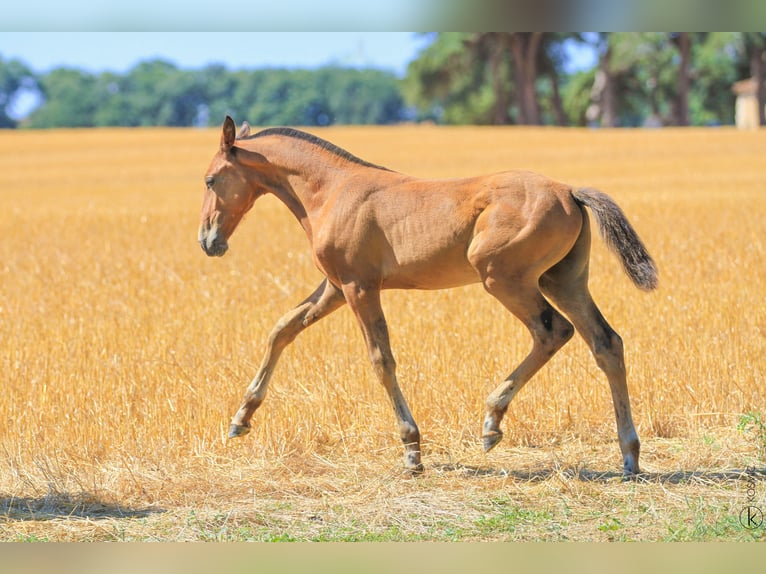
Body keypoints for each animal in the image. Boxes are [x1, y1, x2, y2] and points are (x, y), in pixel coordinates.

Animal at [200, 117, 660, 476]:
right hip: (563, 280)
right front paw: (240, 419)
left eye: (209, 179)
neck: (331, 191)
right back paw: (629, 455)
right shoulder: (334, 286)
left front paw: (412, 450)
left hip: (503, 278)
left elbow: (382, 359)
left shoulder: (359, 287)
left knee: (553, 331)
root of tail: (569, 192)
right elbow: (282, 329)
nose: (208, 242)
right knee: (606, 342)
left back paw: (492, 422)